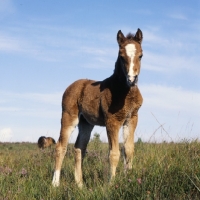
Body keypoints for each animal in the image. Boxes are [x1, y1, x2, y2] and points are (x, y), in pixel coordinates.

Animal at [52, 28, 144, 188]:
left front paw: (128, 179)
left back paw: (80, 184)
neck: (123, 91)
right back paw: (55, 184)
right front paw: (111, 184)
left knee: (79, 148)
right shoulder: (112, 121)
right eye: (121, 57)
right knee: (60, 147)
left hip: (86, 123)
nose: (132, 79)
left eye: (141, 55)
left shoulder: (131, 119)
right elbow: (114, 153)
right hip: (69, 117)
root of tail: (72, 85)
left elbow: (129, 150)